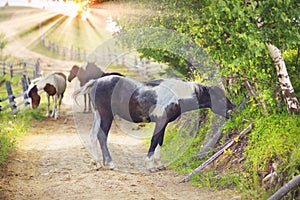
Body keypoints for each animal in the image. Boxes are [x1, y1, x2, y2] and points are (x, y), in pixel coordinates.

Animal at [72, 76, 234, 171]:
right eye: (220, 98)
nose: (233, 110)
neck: (176, 95)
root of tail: (96, 82)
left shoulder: (164, 123)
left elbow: (160, 141)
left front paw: (158, 164)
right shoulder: (160, 121)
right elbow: (154, 140)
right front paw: (150, 165)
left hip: (98, 116)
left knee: (93, 136)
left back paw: (97, 162)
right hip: (106, 116)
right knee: (101, 136)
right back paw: (110, 163)